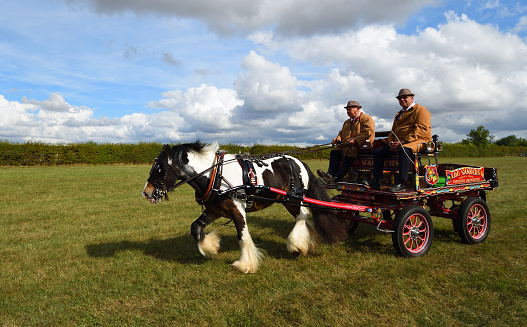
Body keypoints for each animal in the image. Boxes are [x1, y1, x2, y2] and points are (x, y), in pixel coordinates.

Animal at [141, 142, 346, 272]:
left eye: (159, 169)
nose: (146, 193)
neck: (215, 175)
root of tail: (298, 162)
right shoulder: (215, 210)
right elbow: (196, 228)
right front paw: (211, 247)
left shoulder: (237, 210)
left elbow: (242, 236)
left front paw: (245, 264)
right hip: (287, 200)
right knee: (304, 218)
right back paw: (307, 243)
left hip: (293, 199)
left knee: (303, 215)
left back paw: (296, 245)